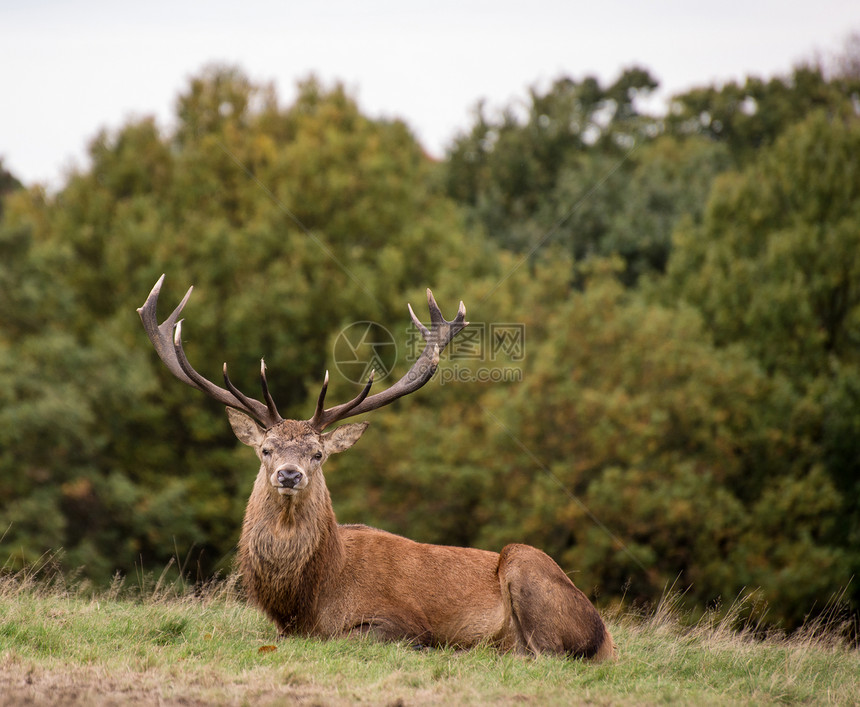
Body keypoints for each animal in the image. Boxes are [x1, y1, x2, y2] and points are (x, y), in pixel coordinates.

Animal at [138, 274, 616, 660]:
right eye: (266, 450)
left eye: (318, 454)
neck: (311, 598)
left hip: (526, 564)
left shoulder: (398, 622)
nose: (289, 475)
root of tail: (607, 638)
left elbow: (358, 637)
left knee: (543, 651)